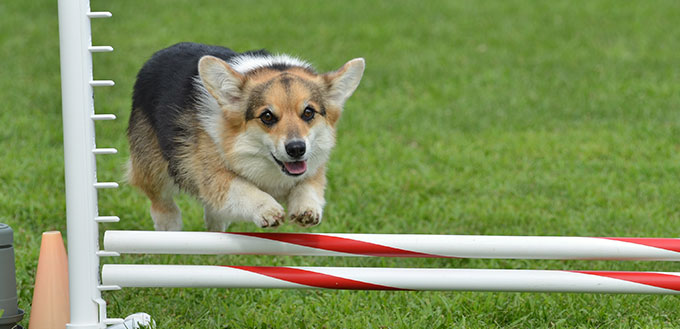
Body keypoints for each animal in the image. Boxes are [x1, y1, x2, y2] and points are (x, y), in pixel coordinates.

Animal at [125, 42, 364, 229]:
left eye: (308, 112)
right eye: (267, 116)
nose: (296, 149)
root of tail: (157, 55)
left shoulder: (313, 168)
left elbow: (308, 187)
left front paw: (307, 209)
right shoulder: (213, 175)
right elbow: (242, 188)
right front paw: (267, 209)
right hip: (154, 167)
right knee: (161, 202)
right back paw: (170, 225)